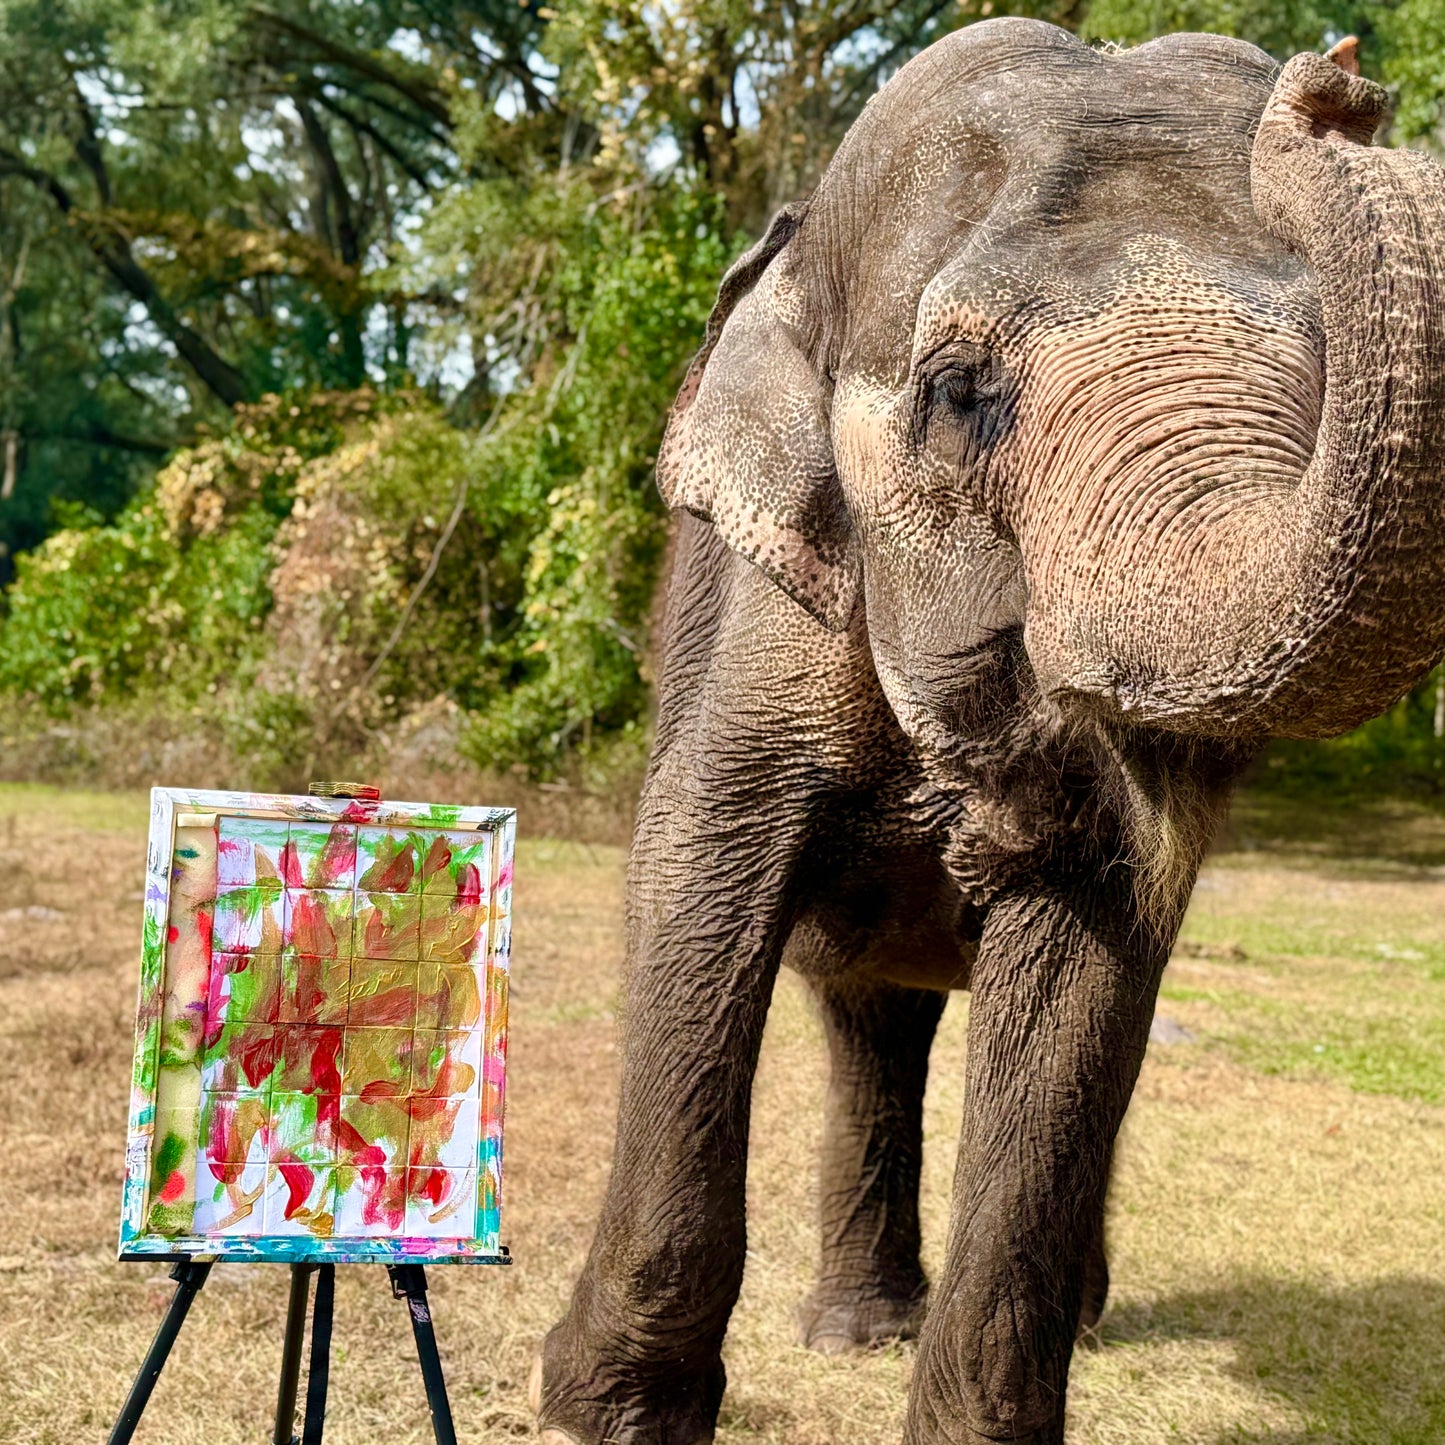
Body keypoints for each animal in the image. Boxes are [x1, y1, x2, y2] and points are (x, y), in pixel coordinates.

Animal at [533, 19, 1445, 1444]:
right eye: (959, 393)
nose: (1340, 82)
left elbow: (1084, 948)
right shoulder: (760, 607)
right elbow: (703, 866)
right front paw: (602, 1411)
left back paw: (1065, 1311)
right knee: (868, 1013)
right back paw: (854, 1328)